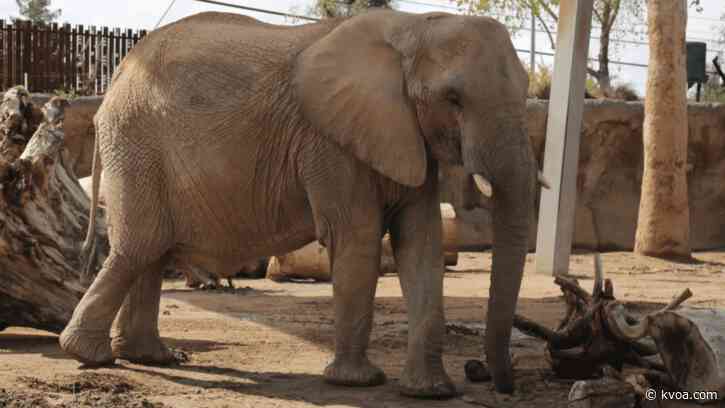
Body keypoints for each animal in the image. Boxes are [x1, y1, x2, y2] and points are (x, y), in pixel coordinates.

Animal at [59, 9, 539, 397]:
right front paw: (357, 383)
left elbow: (420, 243)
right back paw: (92, 355)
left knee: (151, 254)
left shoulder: (407, 136)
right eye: (453, 100)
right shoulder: (330, 142)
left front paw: (431, 392)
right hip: (136, 145)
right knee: (138, 247)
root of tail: (116, 77)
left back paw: (152, 357)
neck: (413, 27)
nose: (498, 382)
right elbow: (359, 239)